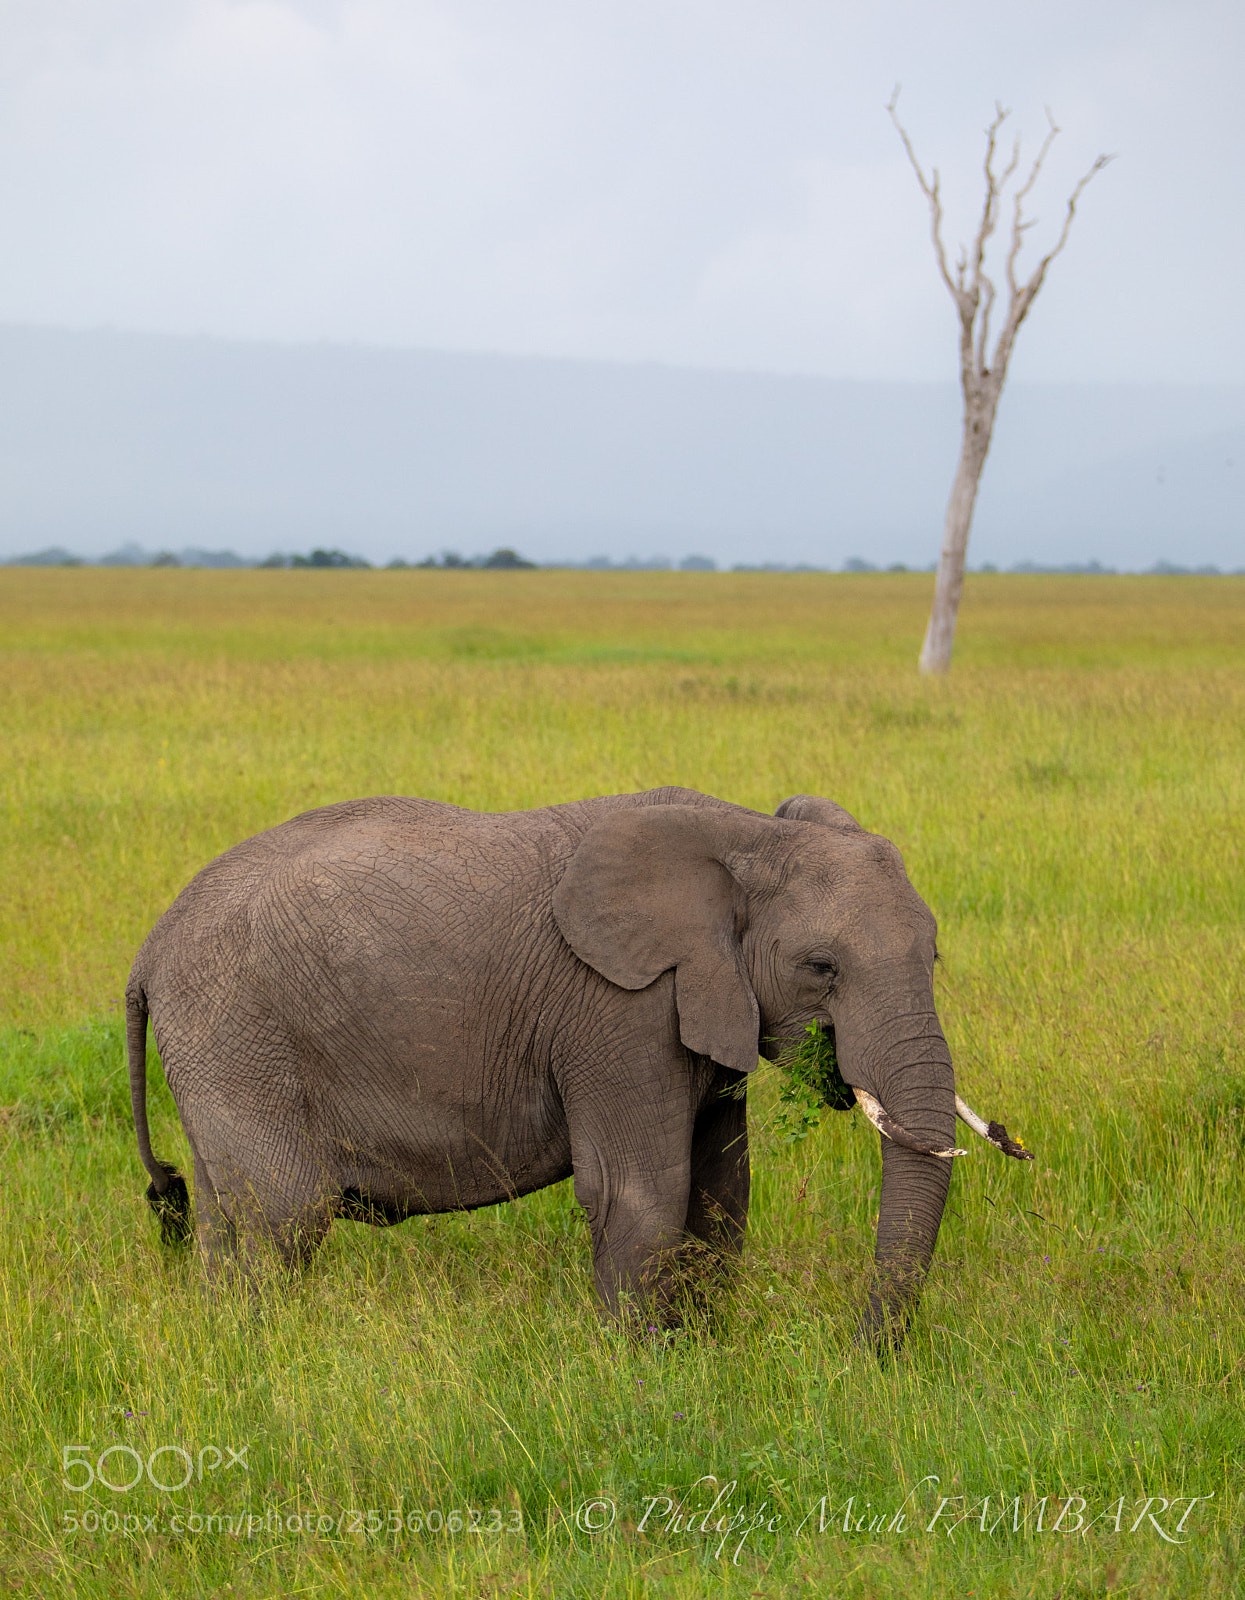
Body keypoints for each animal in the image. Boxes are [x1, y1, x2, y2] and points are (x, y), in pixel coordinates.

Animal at [128, 786, 1030, 1347]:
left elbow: (720, 1193)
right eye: (820, 968)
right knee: (285, 1215)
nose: (859, 1352)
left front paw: (707, 1359)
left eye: (934, 954)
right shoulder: (617, 1009)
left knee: (225, 1218)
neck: (743, 835)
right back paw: (271, 1355)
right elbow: (643, 1193)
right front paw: (641, 1371)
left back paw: (222, 1343)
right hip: (234, 1032)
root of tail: (149, 950)